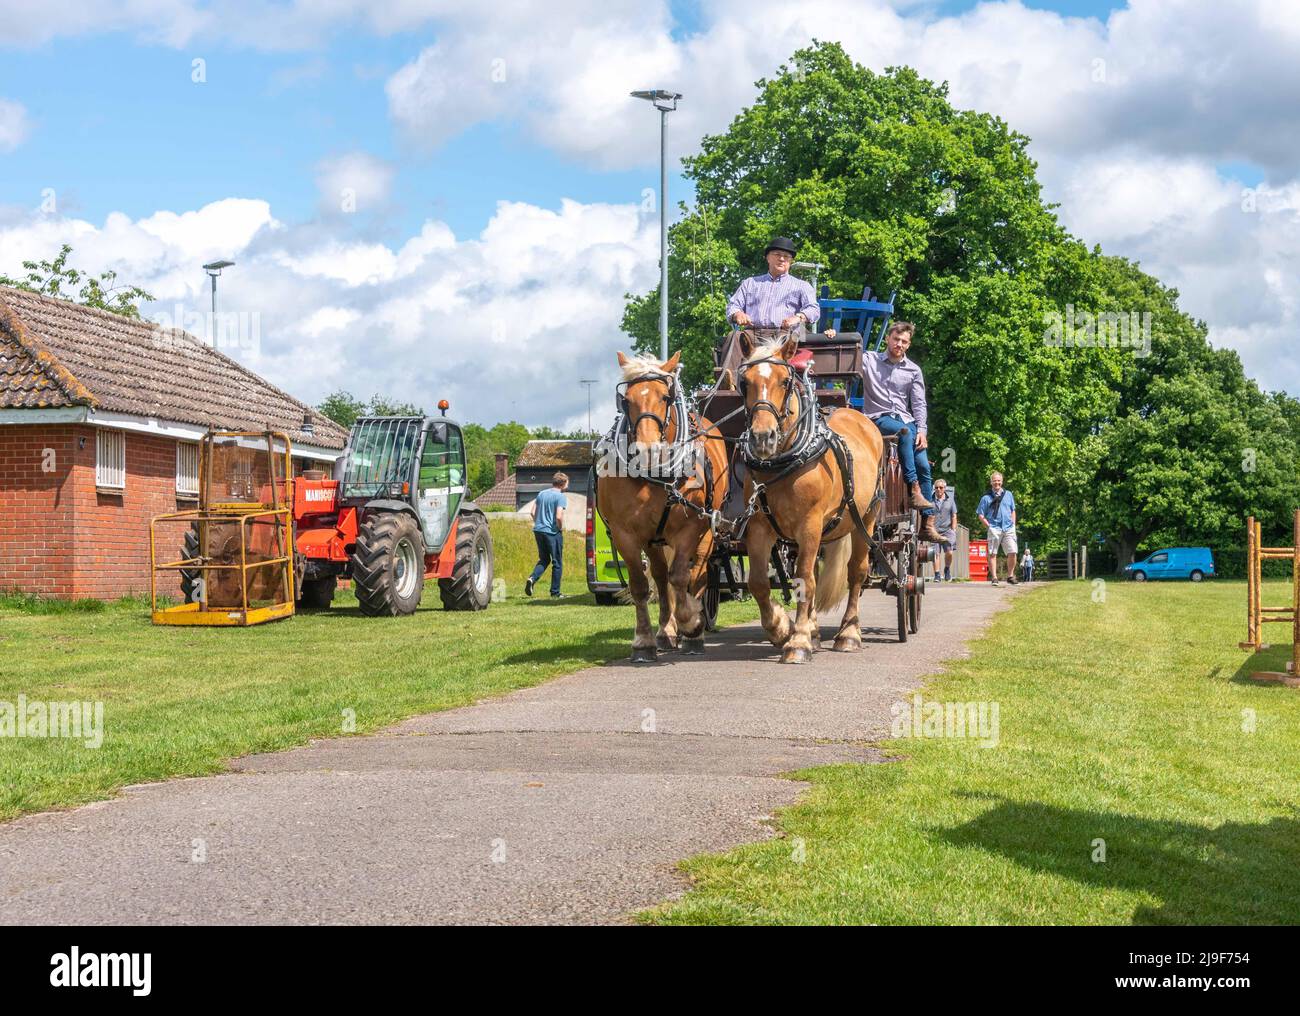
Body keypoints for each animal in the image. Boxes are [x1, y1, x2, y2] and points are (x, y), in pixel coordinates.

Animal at [595, 350, 730, 663]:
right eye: (626, 400)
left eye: (665, 397)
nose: (647, 450)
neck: (654, 476)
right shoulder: (625, 534)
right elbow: (641, 586)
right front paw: (644, 641)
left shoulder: (690, 528)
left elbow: (681, 577)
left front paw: (691, 623)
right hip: (654, 539)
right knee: (659, 576)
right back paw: (667, 632)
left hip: (708, 532)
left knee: (697, 575)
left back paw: (693, 630)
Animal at [735, 330, 886, 664]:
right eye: (744, 382)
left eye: (784, 381)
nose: (762, 438)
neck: (784, 460)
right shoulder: (759, 526)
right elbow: (758, 581)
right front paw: (781, 627)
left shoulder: (810, 524)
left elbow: (804, 578)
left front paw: (799, 640)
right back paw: (816, 631)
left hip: (865, 519)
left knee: (856, 573)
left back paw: (849, 634)